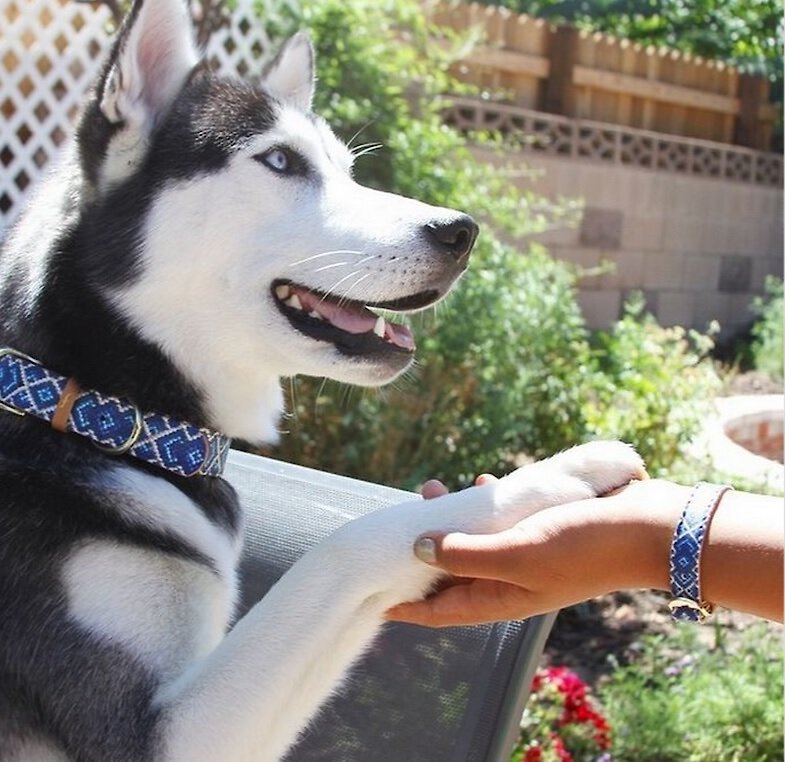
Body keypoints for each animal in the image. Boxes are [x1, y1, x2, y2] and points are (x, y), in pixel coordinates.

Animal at [0, 0, 644, 756]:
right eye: (280, 160)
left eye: (345, 169)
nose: (461, 232)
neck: (96, 410)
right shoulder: (151, 737)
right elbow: (340, 549)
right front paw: (555, 473)